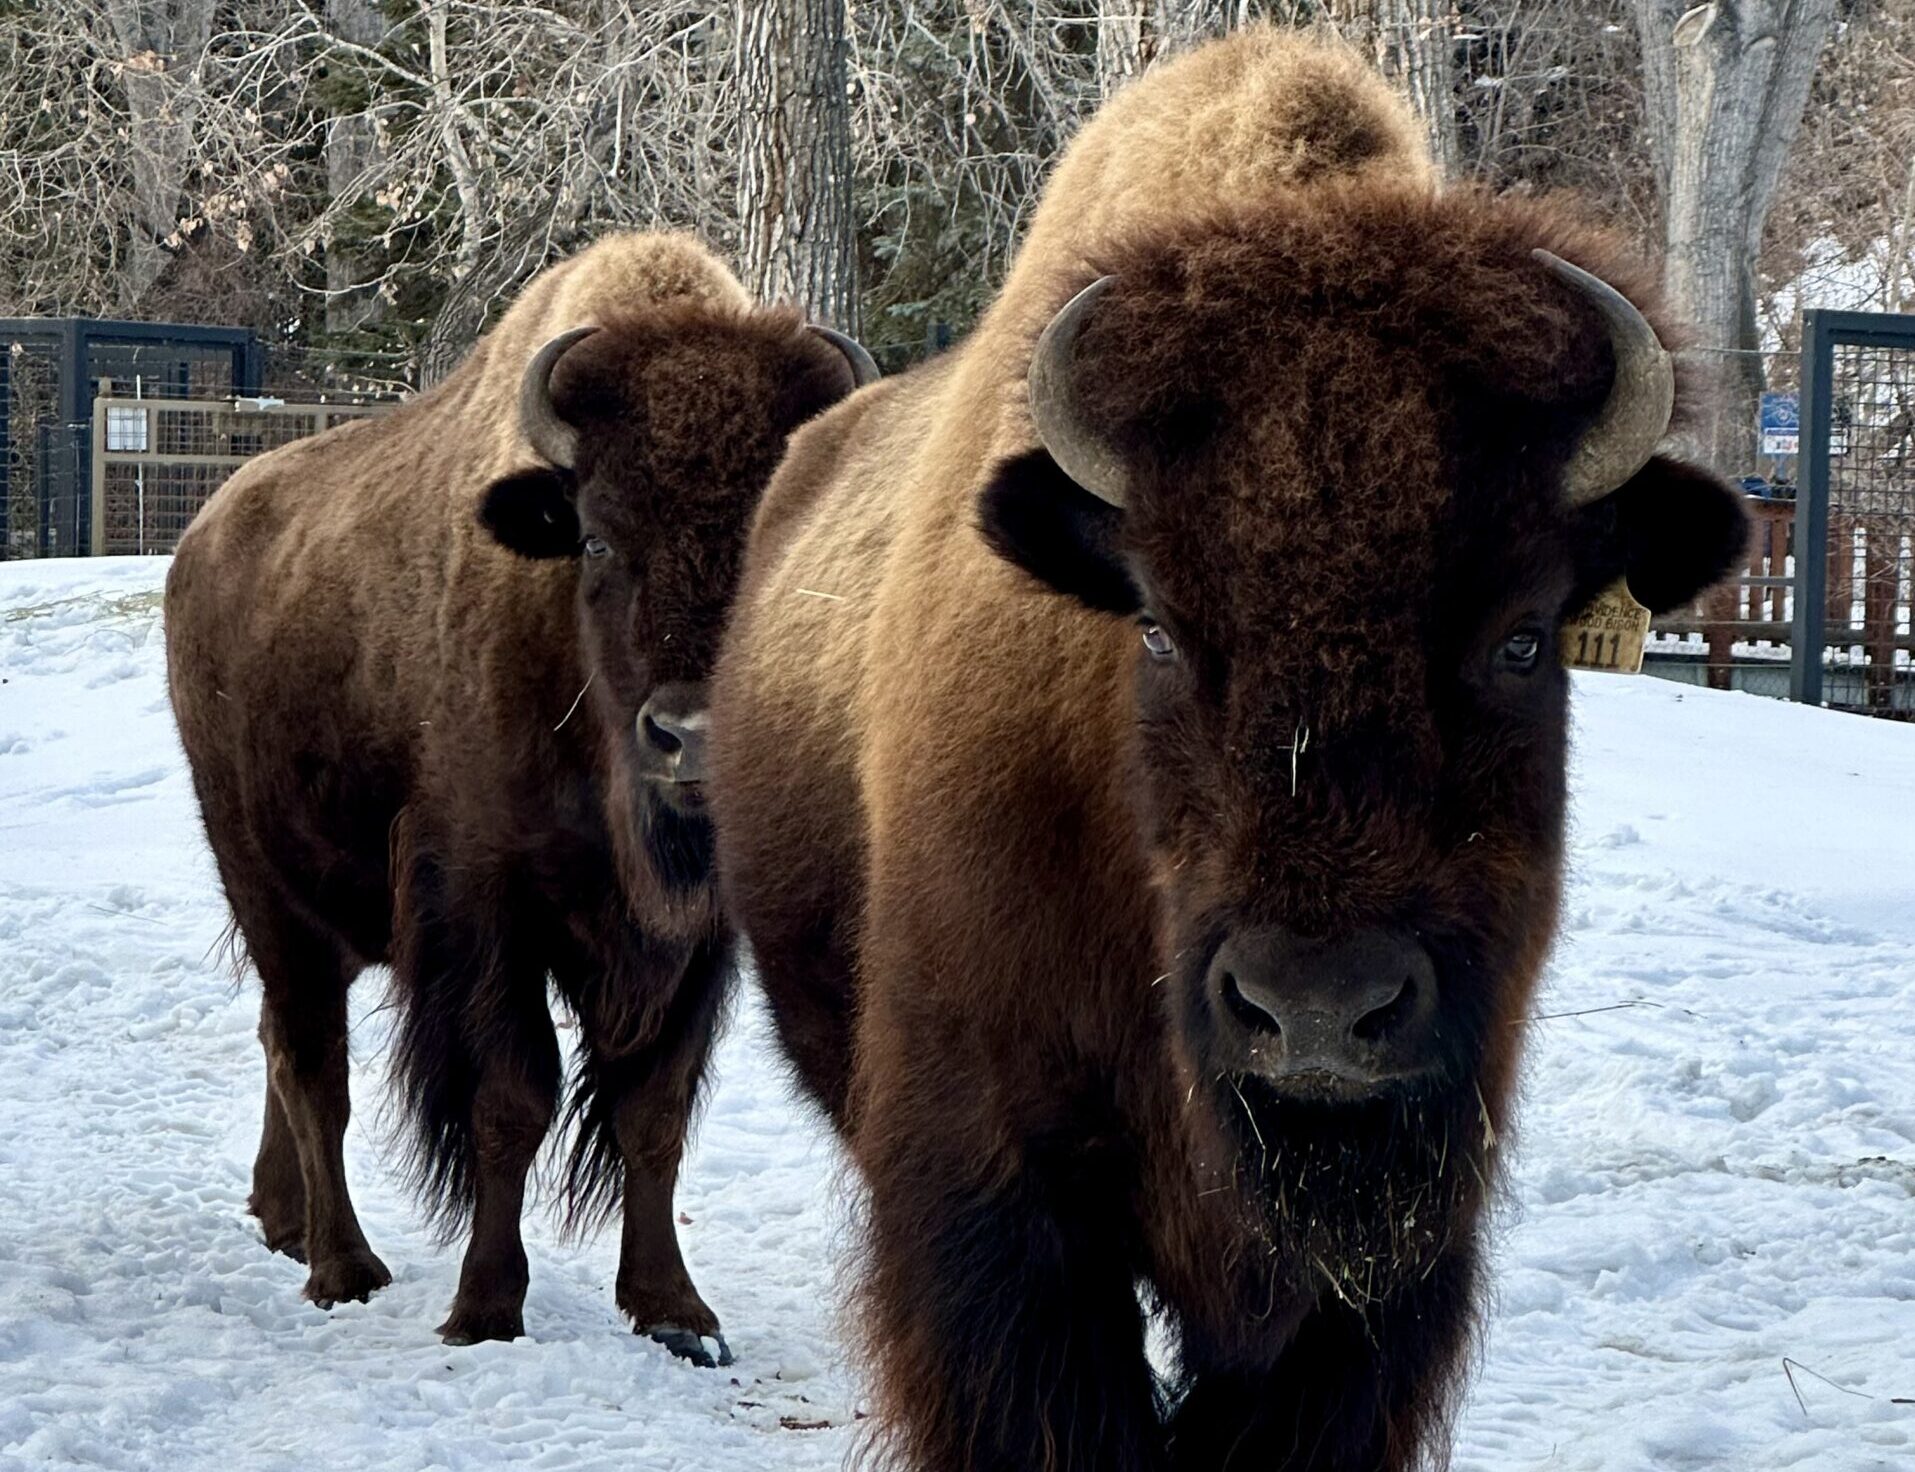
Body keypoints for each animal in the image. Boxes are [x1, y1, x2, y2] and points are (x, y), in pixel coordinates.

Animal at [166, 232, 873, 1358]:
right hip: (262, 881)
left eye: (775, 539)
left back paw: (284, 1222)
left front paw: (676, 1313)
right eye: (597, 537)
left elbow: (653, 1110)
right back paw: (342, 1266)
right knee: (313, 1058)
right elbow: (513, 1098)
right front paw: (486, 1310)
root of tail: (201, 537)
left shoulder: (694, 936)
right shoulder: (488, 907)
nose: (692, 737)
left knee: (283, 1042)